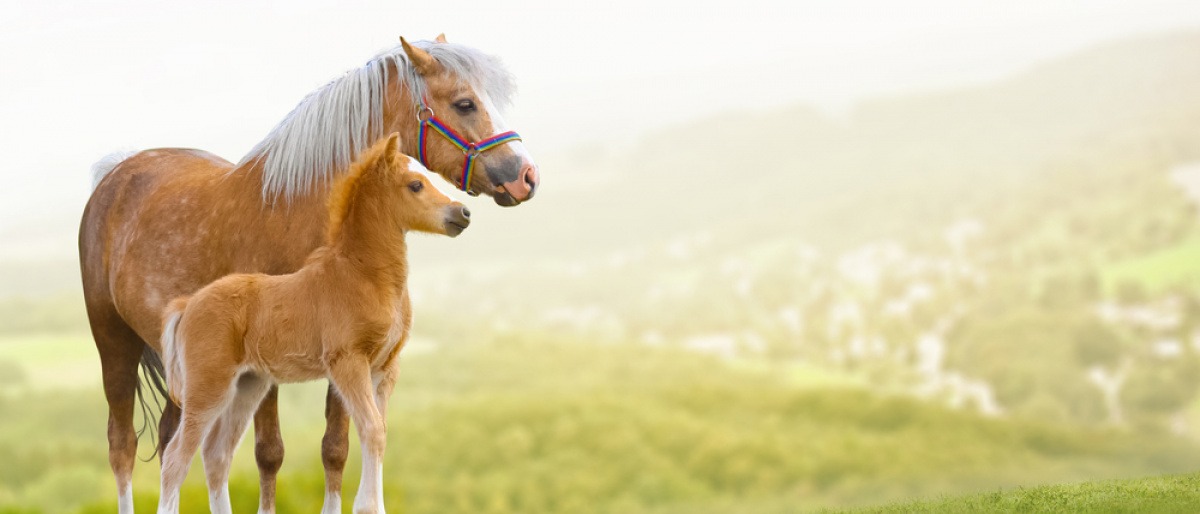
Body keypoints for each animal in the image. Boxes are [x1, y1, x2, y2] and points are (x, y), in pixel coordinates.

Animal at [154, 133, 463, 514]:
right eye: (415, 184)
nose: (462, 213)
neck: (363, 275)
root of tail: (188, 304)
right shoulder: (348, 363)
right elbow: (372, 430)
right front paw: (366, 506)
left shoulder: (385, 368)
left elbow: (380, 431)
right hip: (208, 387)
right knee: (175, 458)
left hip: (247, 385)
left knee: (217, 454)